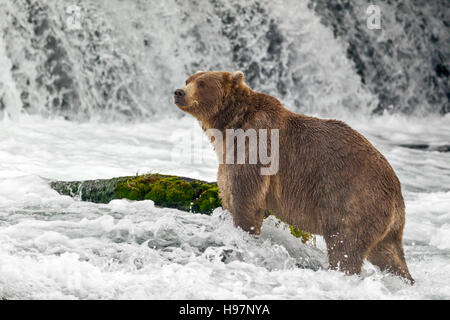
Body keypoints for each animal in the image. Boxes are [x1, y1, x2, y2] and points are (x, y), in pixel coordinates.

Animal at [173, 70, 414, 284]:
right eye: (188, 79)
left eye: (202, 83)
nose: (178, 92)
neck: (229, 127)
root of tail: (396, 193)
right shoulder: (228, 157)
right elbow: (228, 194)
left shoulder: (256, 147)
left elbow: (247, 200)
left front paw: (244, 237)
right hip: (385, 223)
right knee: (389, 254)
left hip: (352, 199)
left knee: (345, 244)